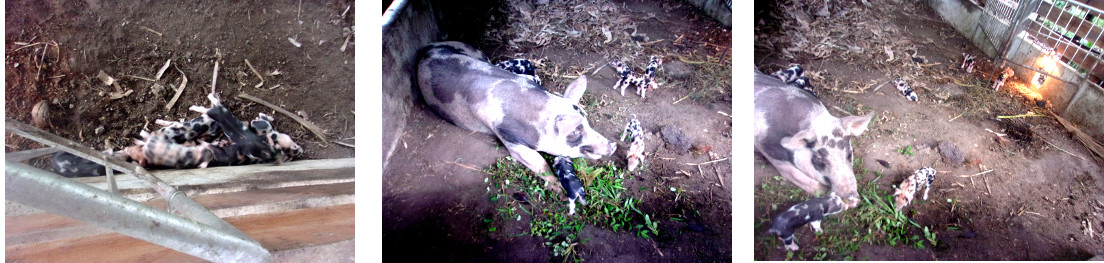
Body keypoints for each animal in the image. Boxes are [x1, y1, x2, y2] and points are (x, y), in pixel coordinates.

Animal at [417, 41, 618, 188]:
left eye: (588, 122)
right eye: (575, 133)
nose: (612, 145)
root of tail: (427, 48)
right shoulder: (508, 137)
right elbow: (539, 163)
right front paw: (560, 190)